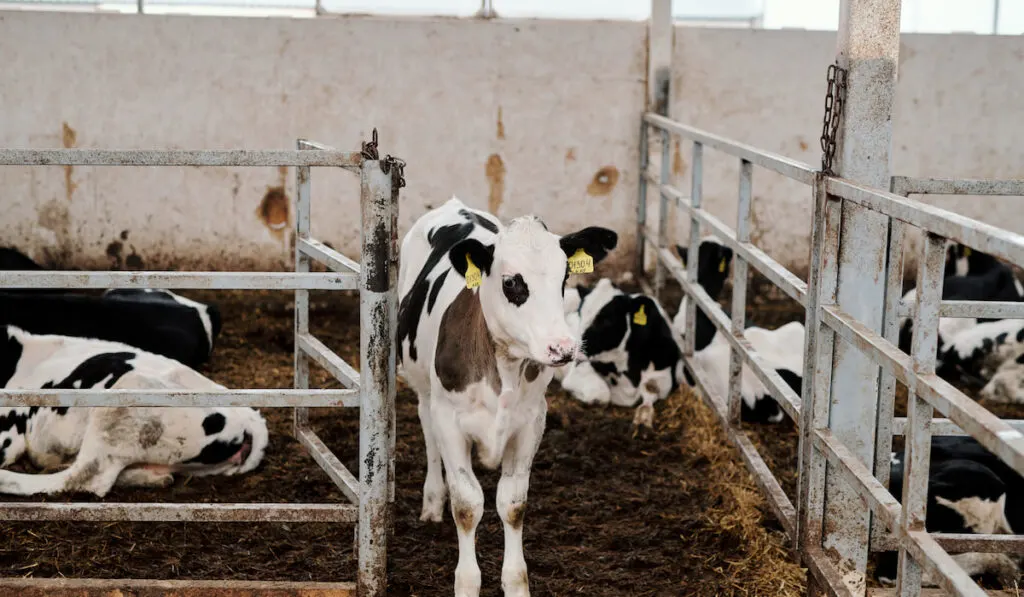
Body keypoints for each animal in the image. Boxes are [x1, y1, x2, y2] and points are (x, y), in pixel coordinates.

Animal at [395, 197, 610, 597]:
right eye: (512, 283)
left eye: (564, 279)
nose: (563, 348)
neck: (503, 369)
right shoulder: (450, 420)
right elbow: (467, 504)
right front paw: (466, 583)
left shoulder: (531, 422)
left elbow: (512, 504)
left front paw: (515, 583)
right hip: (423, 389)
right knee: (428, 433)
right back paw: (432, 501)